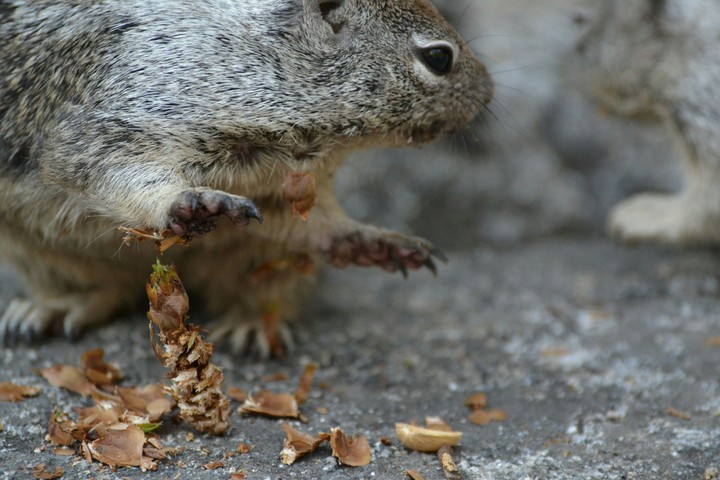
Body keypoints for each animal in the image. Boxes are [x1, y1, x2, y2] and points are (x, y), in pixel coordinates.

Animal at [0, 0, 492, 356]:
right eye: (438, 58)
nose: (487, 93)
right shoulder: (111, 126)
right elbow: (107, 169)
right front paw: (188, 201)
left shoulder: (284, 194)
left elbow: (318, 226)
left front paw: (370, 239)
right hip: (34, 251)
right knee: (103, 289)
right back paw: (54, 307)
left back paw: (254, 323)